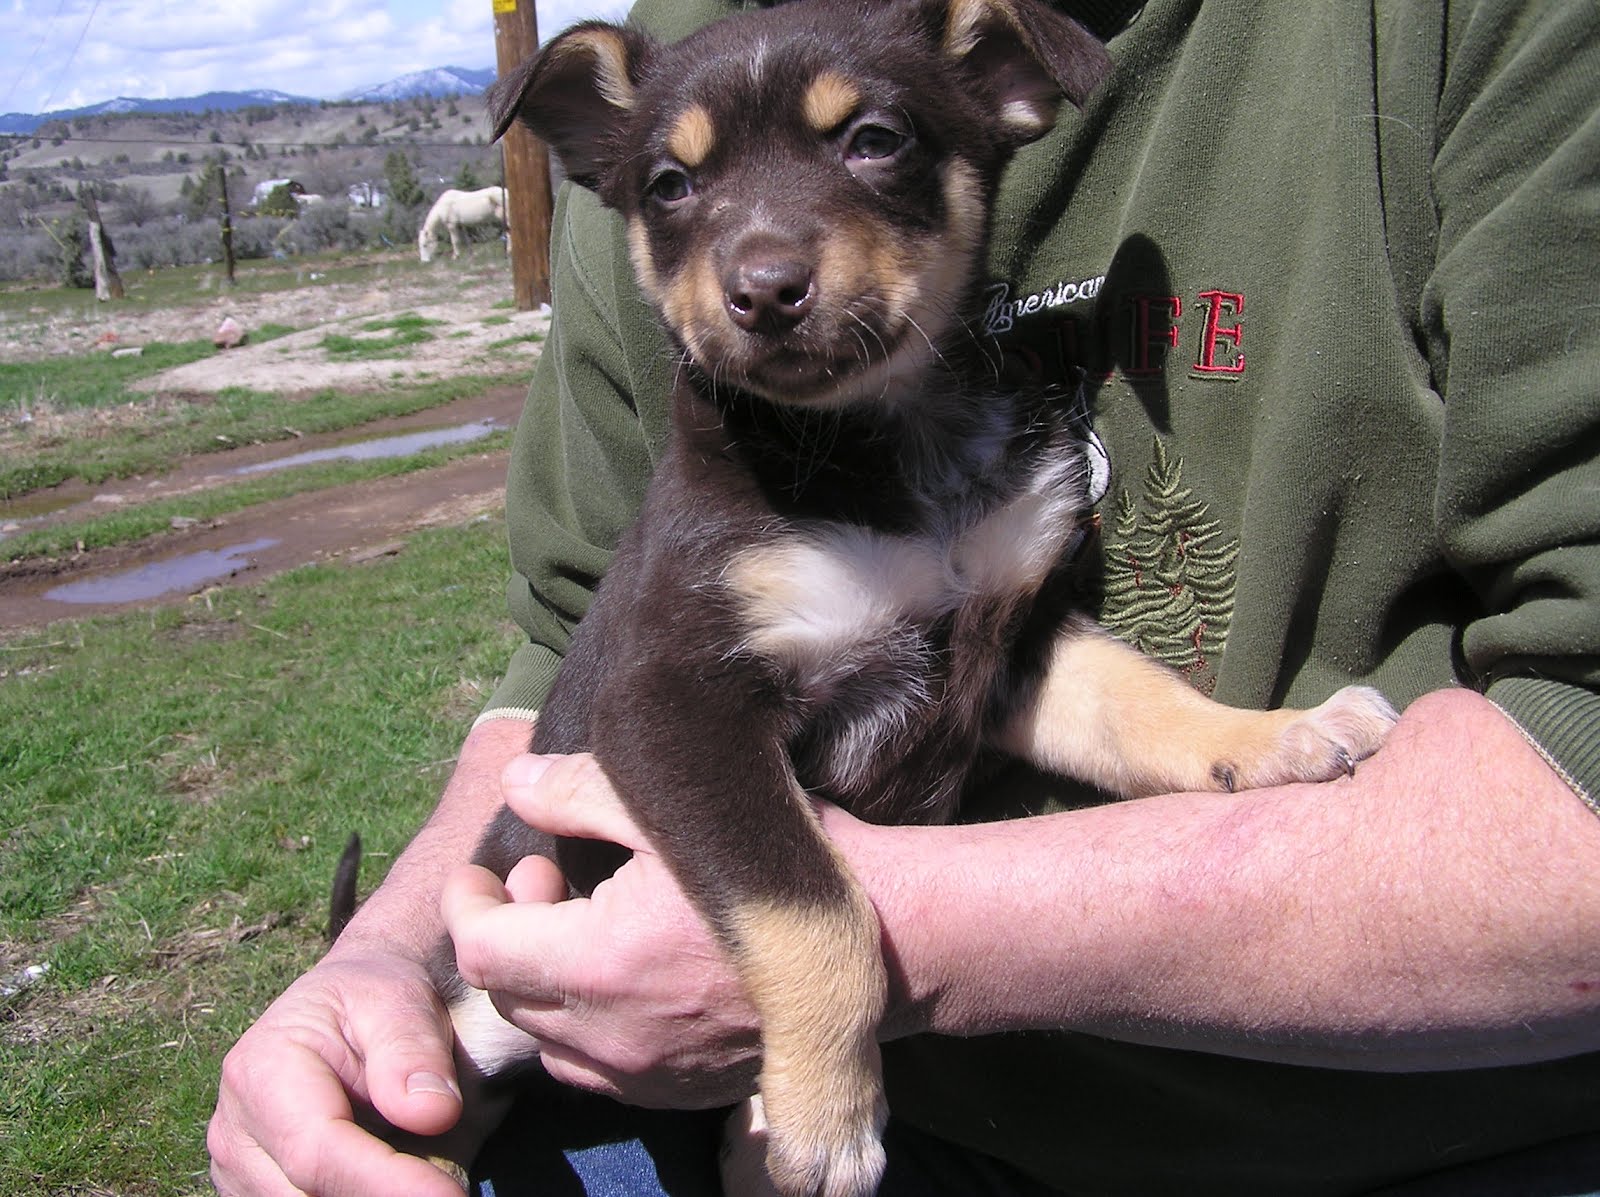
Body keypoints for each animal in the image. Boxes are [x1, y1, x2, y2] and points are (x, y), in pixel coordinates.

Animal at [428, 4, 1401, 1190]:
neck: (888, 446)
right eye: (669, 184)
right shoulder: (670, 705)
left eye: (874, 140)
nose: (763, 290)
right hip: (483, 989)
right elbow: (811, 903)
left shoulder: (1011, 640)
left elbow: (1143, 700)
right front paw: (828, 1112)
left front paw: (1275, 735)